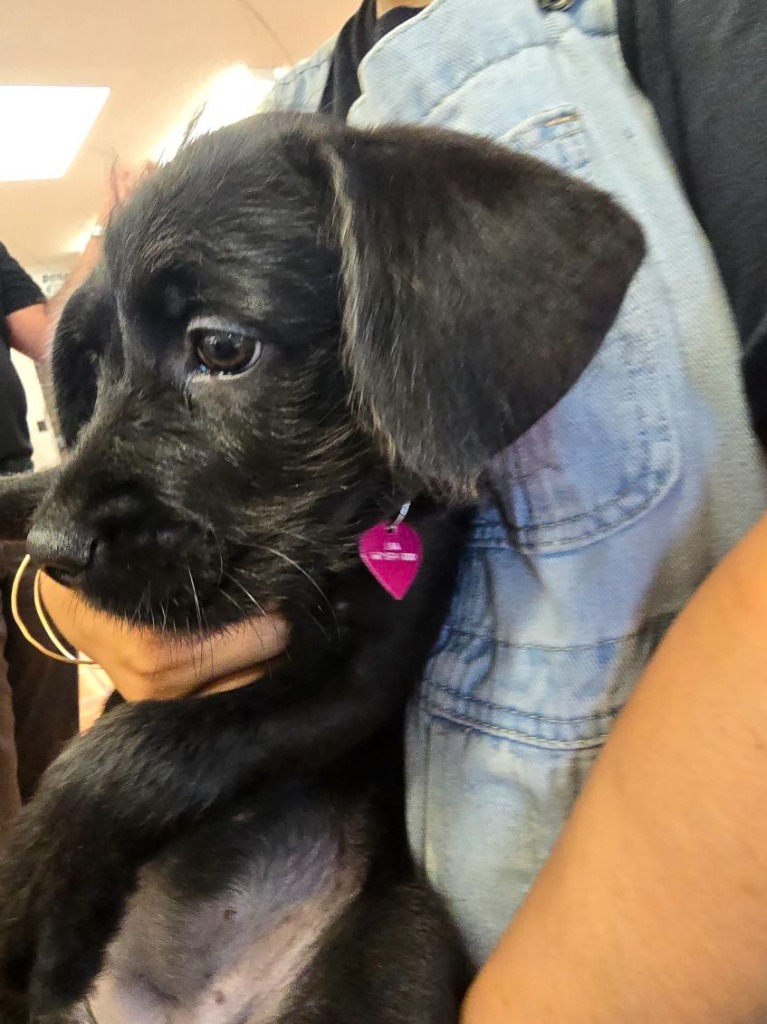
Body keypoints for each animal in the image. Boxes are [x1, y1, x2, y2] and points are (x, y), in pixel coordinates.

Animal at [0, 114, 638, 1024]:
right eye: (95, 363)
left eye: (221, 347)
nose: (55, 553)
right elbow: (29, 490)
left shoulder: (349, 681)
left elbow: (145, 745)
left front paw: (34, 882)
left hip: (397, 951)